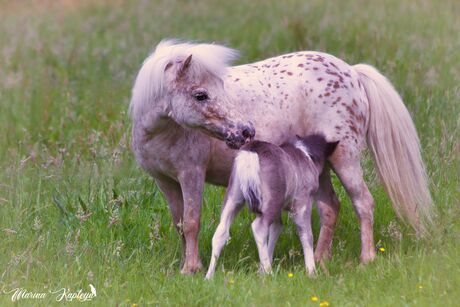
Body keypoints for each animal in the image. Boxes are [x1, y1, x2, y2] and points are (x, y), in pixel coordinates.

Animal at [206, 135, 338, 280]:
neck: (305, 155)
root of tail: (252, 150)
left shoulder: (279, 210)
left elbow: (276, 228)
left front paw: (261, 269)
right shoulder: (303, 202)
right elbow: (306, 234)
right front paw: (312, 272)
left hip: (235, 195)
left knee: (221, 231)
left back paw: (209, 276)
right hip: (272, 200)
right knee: (259, 227)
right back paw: (269, 273)